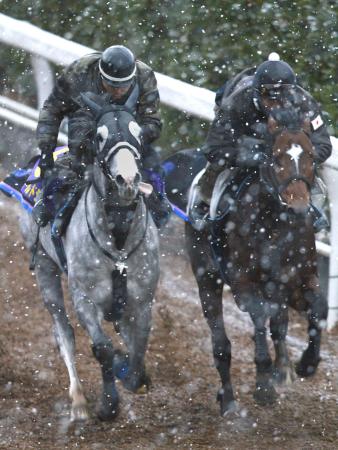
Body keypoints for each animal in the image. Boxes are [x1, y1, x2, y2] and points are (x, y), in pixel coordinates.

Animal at [19, 95, 159, 422]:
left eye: (139, 132)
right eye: (99, 136)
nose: (127, 180)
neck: (118, 240)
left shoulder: (142, 300)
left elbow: (138, 348)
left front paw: (132, 371)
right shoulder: (85, 298)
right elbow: (103, 348)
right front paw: (108, 404)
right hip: (44, 268)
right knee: (65, 332)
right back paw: (79, 401)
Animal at [184, 110, 328, 414]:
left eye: (310, 156)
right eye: (277, 157)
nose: (299, 206)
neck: (273, 223)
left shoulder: (298, 279)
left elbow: (318, 309)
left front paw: (306, 363)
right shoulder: (243, 283)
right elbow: (260, 317)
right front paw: (263, 385)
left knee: (280, 324)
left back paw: (283, 368)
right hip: (207, 279)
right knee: (221, 343)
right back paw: (228, 399)